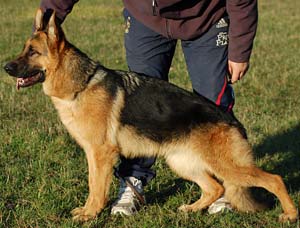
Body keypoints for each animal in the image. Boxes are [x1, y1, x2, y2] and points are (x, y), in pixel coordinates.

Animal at [3, 9, 298, 223]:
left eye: (33, 52)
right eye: (23, 49)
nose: (6, 67)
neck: (81, 83)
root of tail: (232, 121)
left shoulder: (100, 155)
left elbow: (96, 187)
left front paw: (89, 214)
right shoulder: (94, 155)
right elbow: (93, 184)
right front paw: (88, 212)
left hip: (226, 166)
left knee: (273, 180)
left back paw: (290, 214)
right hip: (181, 162)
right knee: (216, 187)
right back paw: (192, 209)